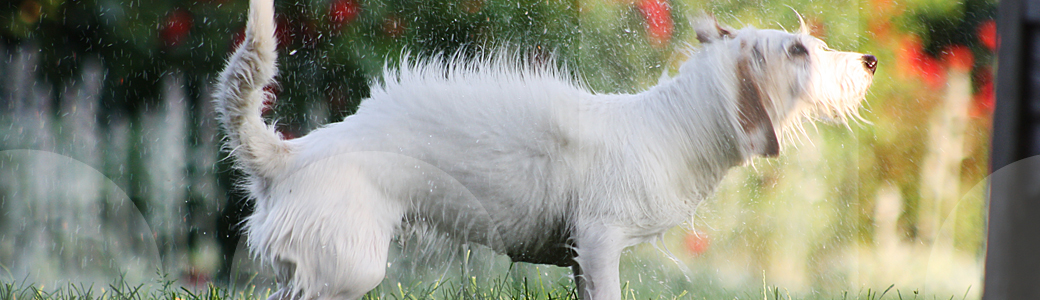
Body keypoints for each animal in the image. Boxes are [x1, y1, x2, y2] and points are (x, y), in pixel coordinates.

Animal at [213, 0, 877, 297]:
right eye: (798, 50)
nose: (871, 61)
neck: (675, 128)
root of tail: (288, 155)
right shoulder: (601, 240)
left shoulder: (582, 254)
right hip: (346, 268)